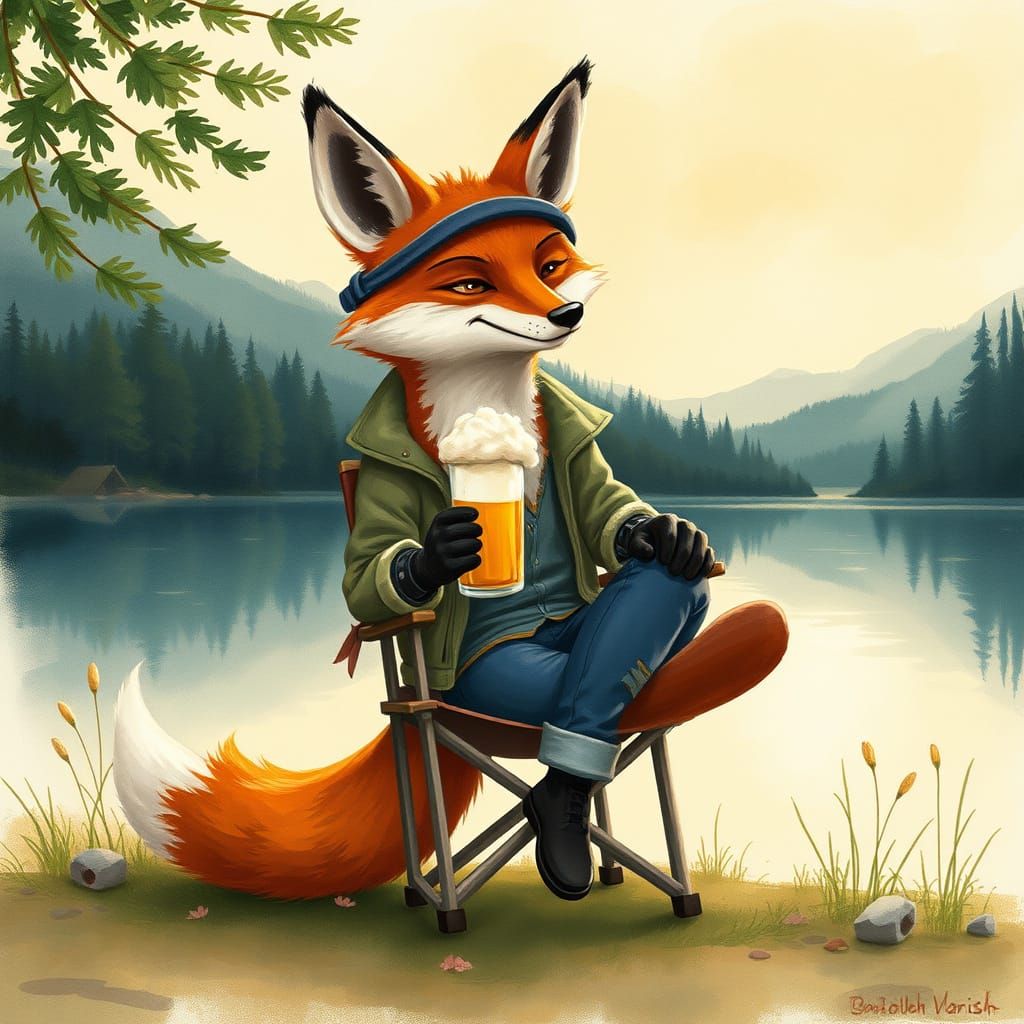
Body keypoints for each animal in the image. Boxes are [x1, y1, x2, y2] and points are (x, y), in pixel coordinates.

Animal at [113, 59, 786, 902]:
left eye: (548, 266)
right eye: (470, 285)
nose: (564, 314)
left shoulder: (581, 469)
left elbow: (614, 519)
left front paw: (662, 530)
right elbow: (370, 577)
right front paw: (435, 556)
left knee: (660, 610)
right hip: (480, 696)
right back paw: (514, 846)